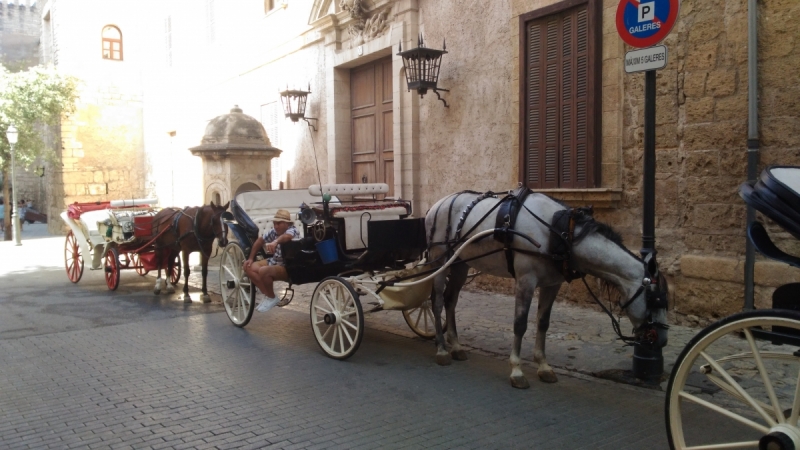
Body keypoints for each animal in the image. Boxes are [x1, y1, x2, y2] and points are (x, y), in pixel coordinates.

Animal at [424, 188, 668, 388]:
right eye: (655, 300)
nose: (662, 341)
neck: (559, 233)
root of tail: (436, 206)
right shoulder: (526, 280)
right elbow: (520, 324)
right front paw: (516, 370)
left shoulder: (552, 284)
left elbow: (543, 323)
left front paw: (543, 365)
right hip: (440, 261)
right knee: (437, 303)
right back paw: (442, 349)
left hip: (460, 264)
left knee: (450, 301)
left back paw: (456, 346)